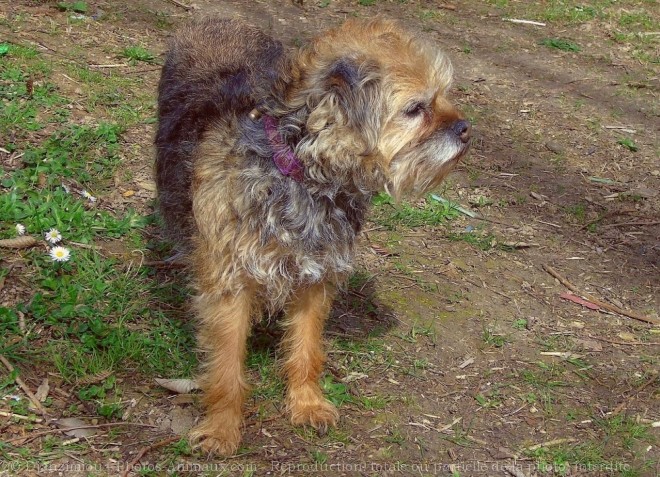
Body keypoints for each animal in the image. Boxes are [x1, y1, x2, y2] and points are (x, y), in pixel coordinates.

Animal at [157, 15, 472, 454]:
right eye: (415, 109)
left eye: (442, 95)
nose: (466, 129)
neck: (303, 175)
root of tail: (219, 20)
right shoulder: (231, 283)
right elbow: (226, 365)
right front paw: (222, 427)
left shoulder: (315, 275)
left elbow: (307, 349)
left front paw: (306, 403)